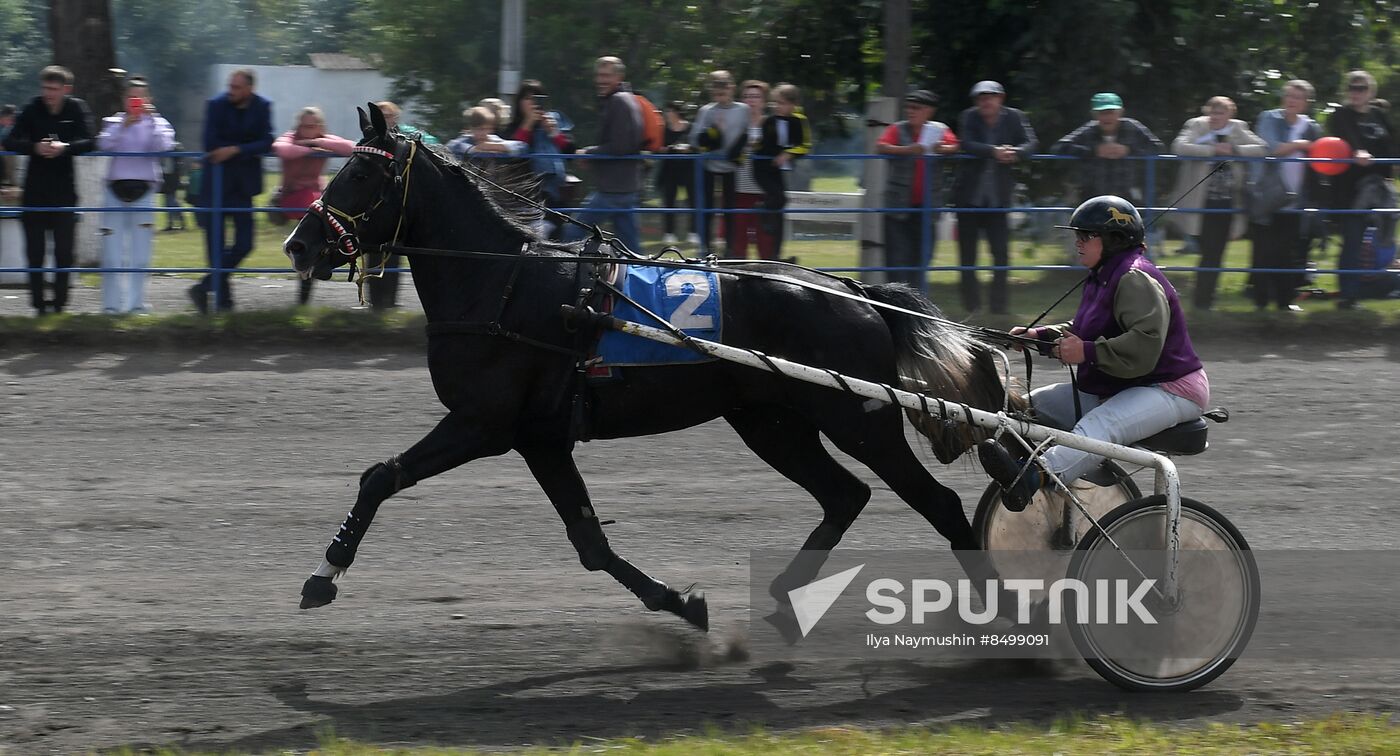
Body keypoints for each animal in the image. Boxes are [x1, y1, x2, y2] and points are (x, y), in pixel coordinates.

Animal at [284, 105, 1024, 632]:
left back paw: (999, 612)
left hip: (857, 420)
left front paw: (323, 574)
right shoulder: (539, 438)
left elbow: (381, 477)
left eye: (360, 175)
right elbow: (589, 541)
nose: (298, 244)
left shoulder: (483, 423)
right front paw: (681, 602)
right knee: (844, 495)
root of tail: (855, 292)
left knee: (936, 503)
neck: (502, 285)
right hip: (770, 421)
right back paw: (785, 594)